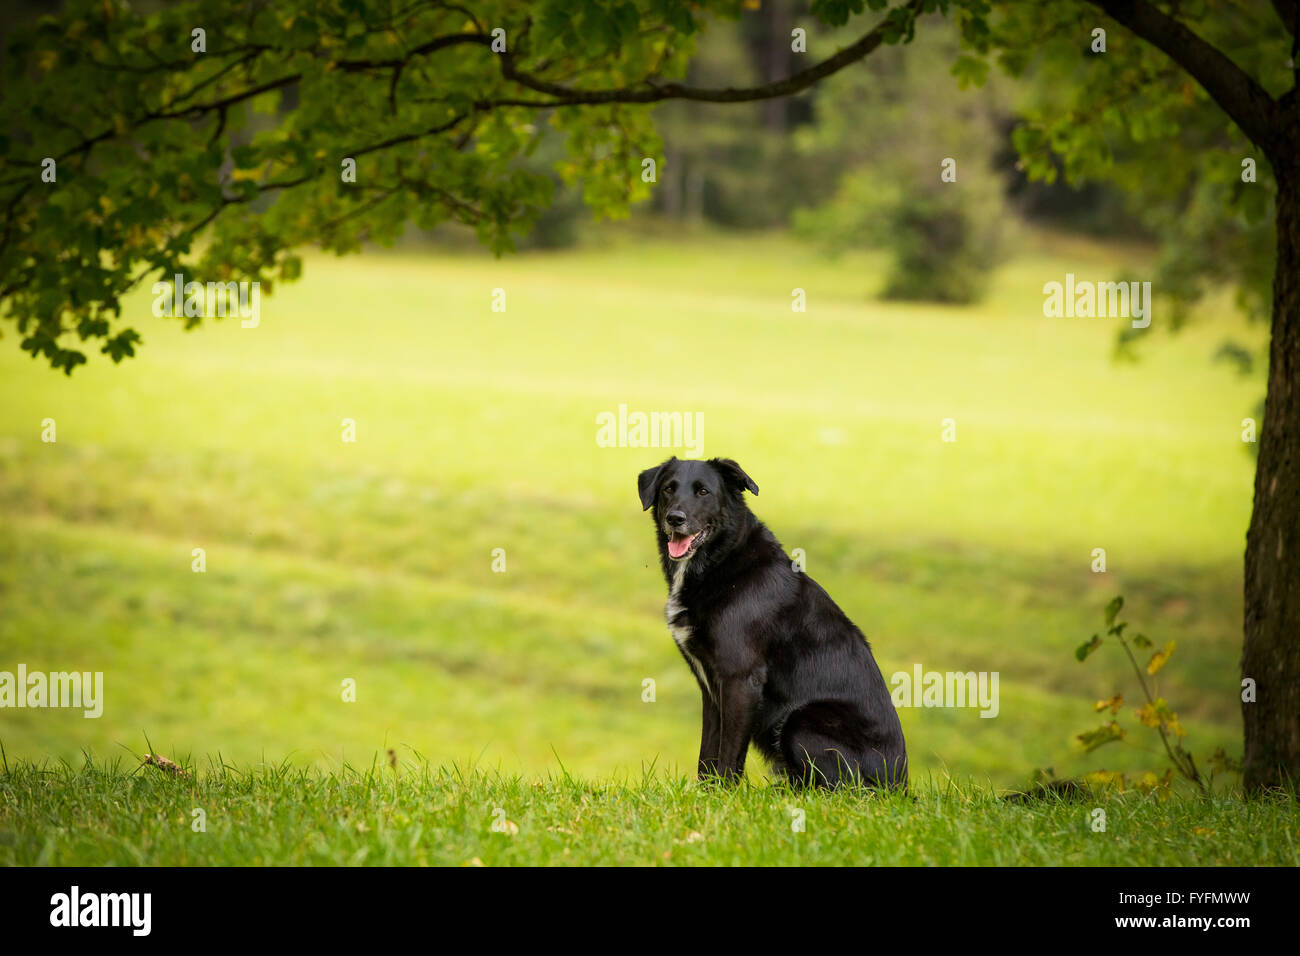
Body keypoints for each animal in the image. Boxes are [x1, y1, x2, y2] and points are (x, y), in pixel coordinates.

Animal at [637, 460, 904, 790]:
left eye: (703, 491)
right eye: (668, 489)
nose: (675, 518)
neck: (724, 561)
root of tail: (899, 785)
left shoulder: (740, 679)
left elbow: (729, 755)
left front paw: (725, 794)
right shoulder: (711, 690)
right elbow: (708, 752)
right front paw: (705, 794)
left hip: (801, 721)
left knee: (839, 789)